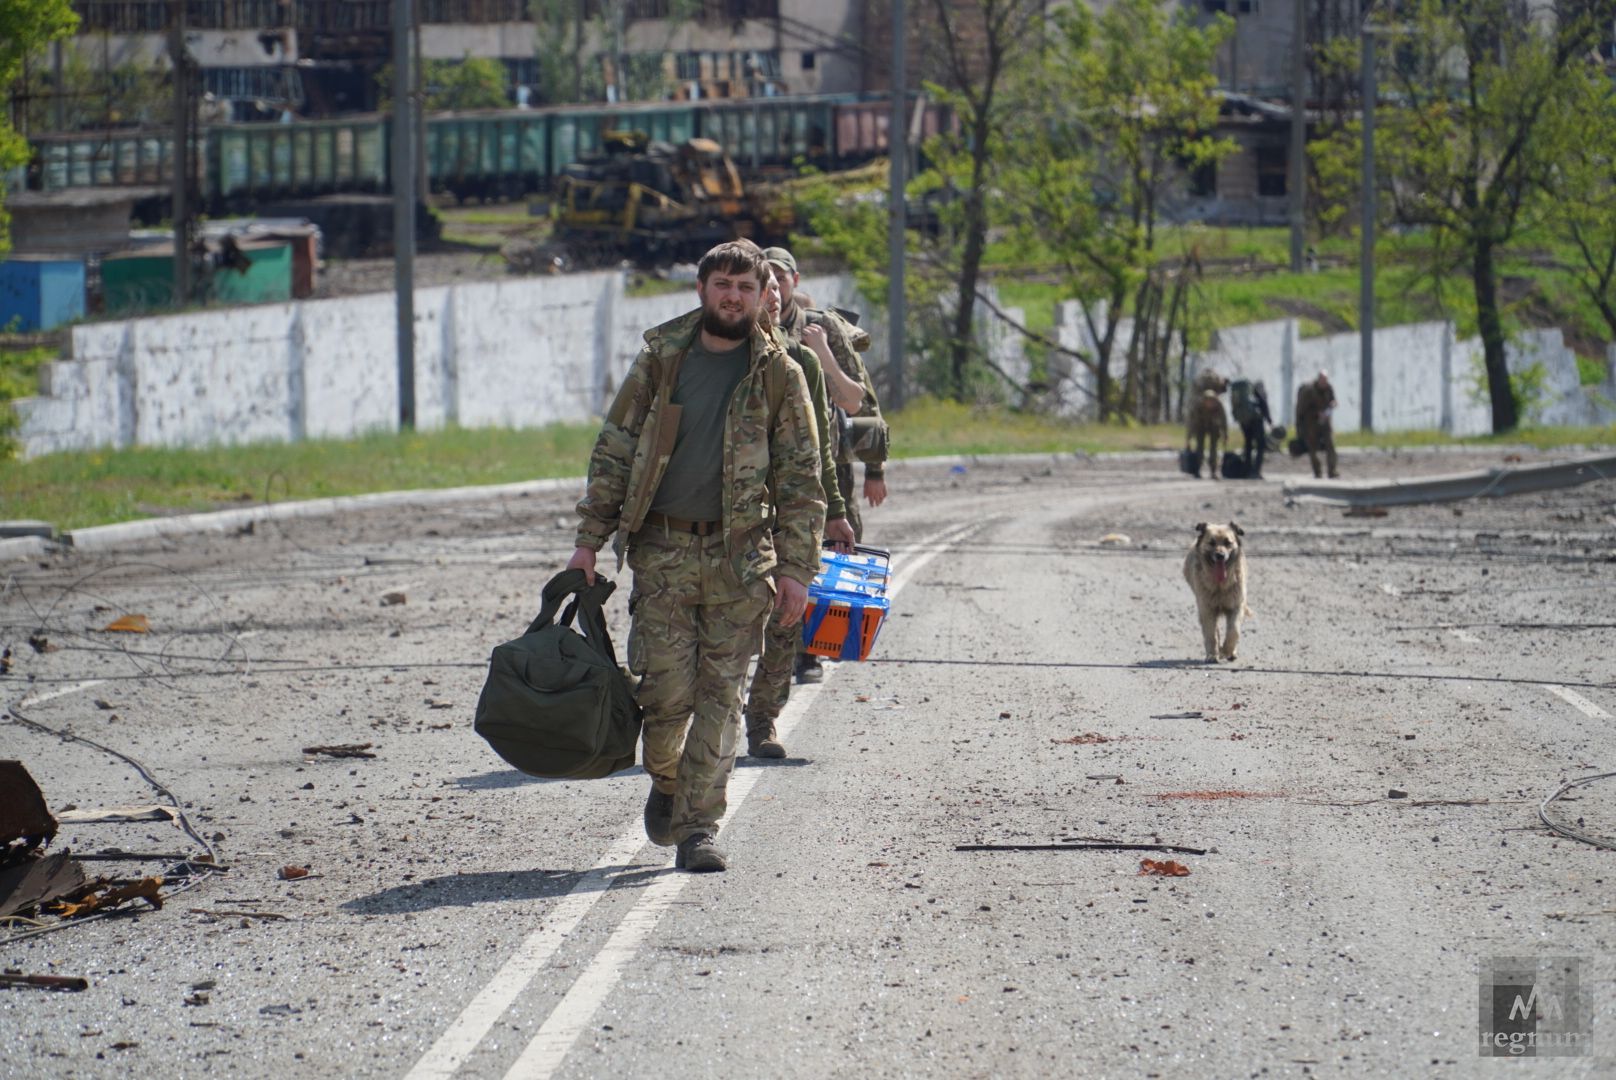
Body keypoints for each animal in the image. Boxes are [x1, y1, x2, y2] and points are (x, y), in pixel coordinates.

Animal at [1182, 520, 1254, 662]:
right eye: (1212, 542)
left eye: (1227, 542)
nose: (1220, 556)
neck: (1220, 585)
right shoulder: (1207, 609)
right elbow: (1212, 634)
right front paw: (1213, 654)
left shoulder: (1236, 606)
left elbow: (1234, 630)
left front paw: (1227, 651)